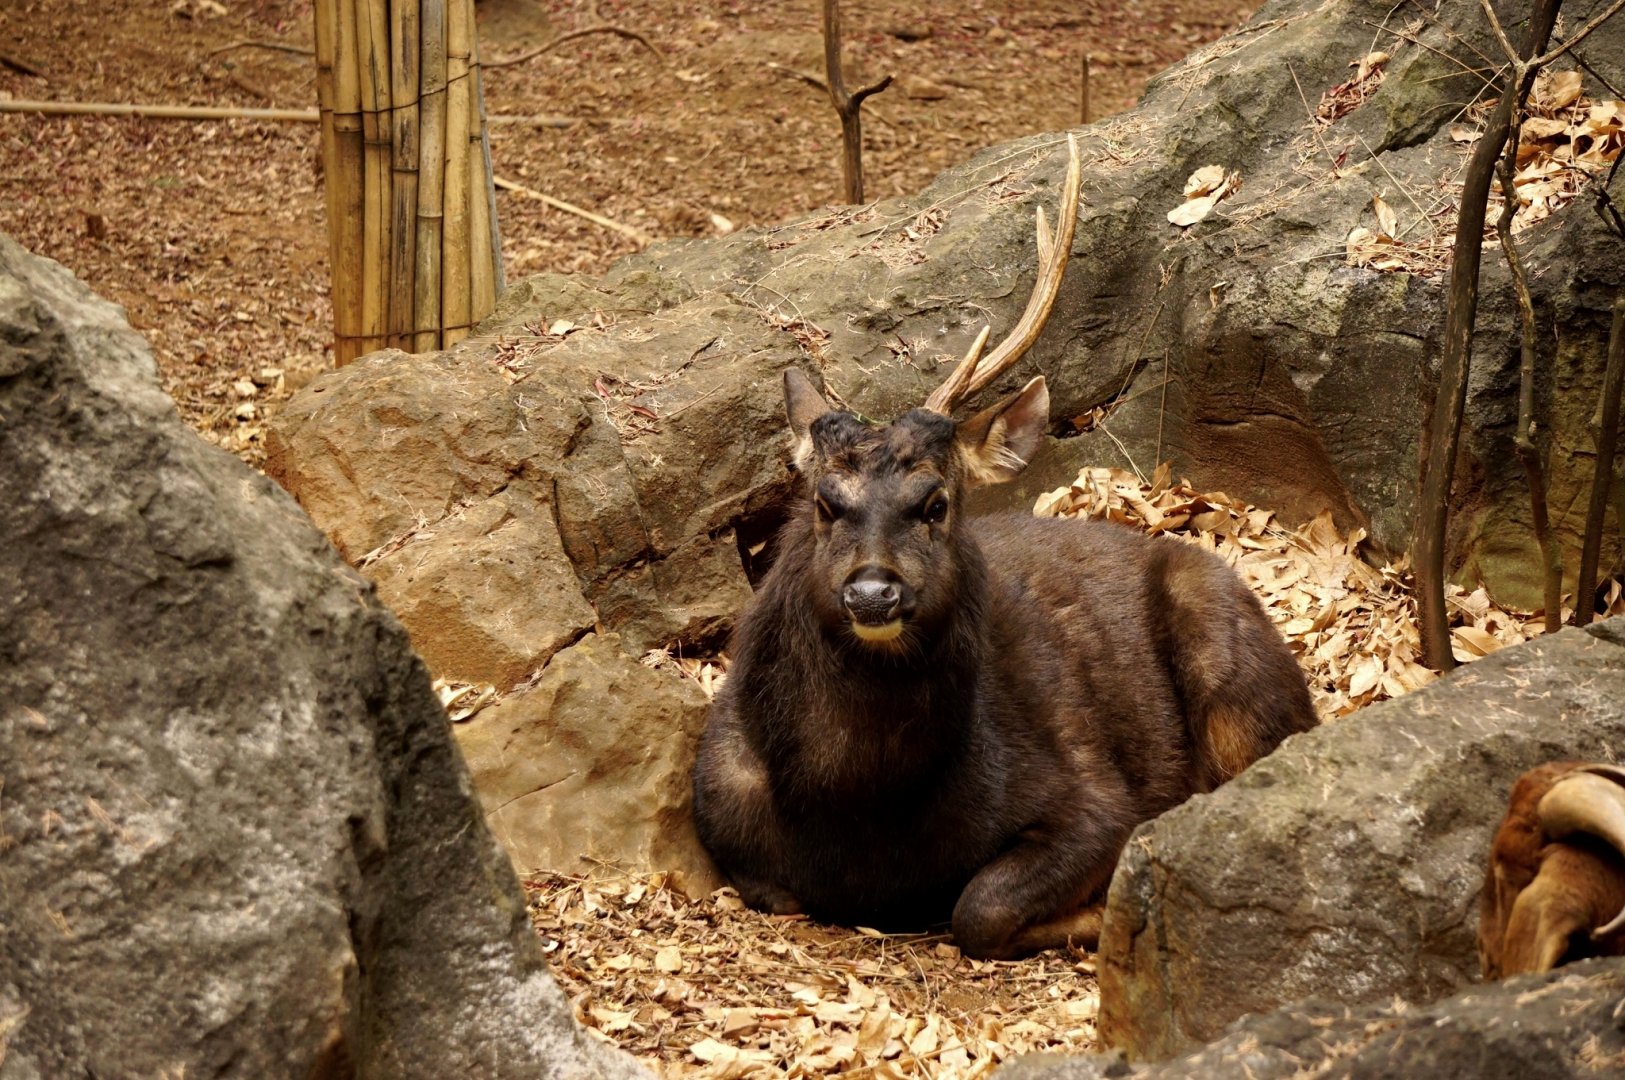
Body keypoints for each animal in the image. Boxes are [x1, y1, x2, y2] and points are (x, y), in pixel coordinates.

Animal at [690, 137, 1318, 959]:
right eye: (824, 503)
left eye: (936, 503)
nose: (873, 591)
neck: (857, 811)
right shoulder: (718, 812)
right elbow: (778, 892)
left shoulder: (1088, 791)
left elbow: (978, 907)